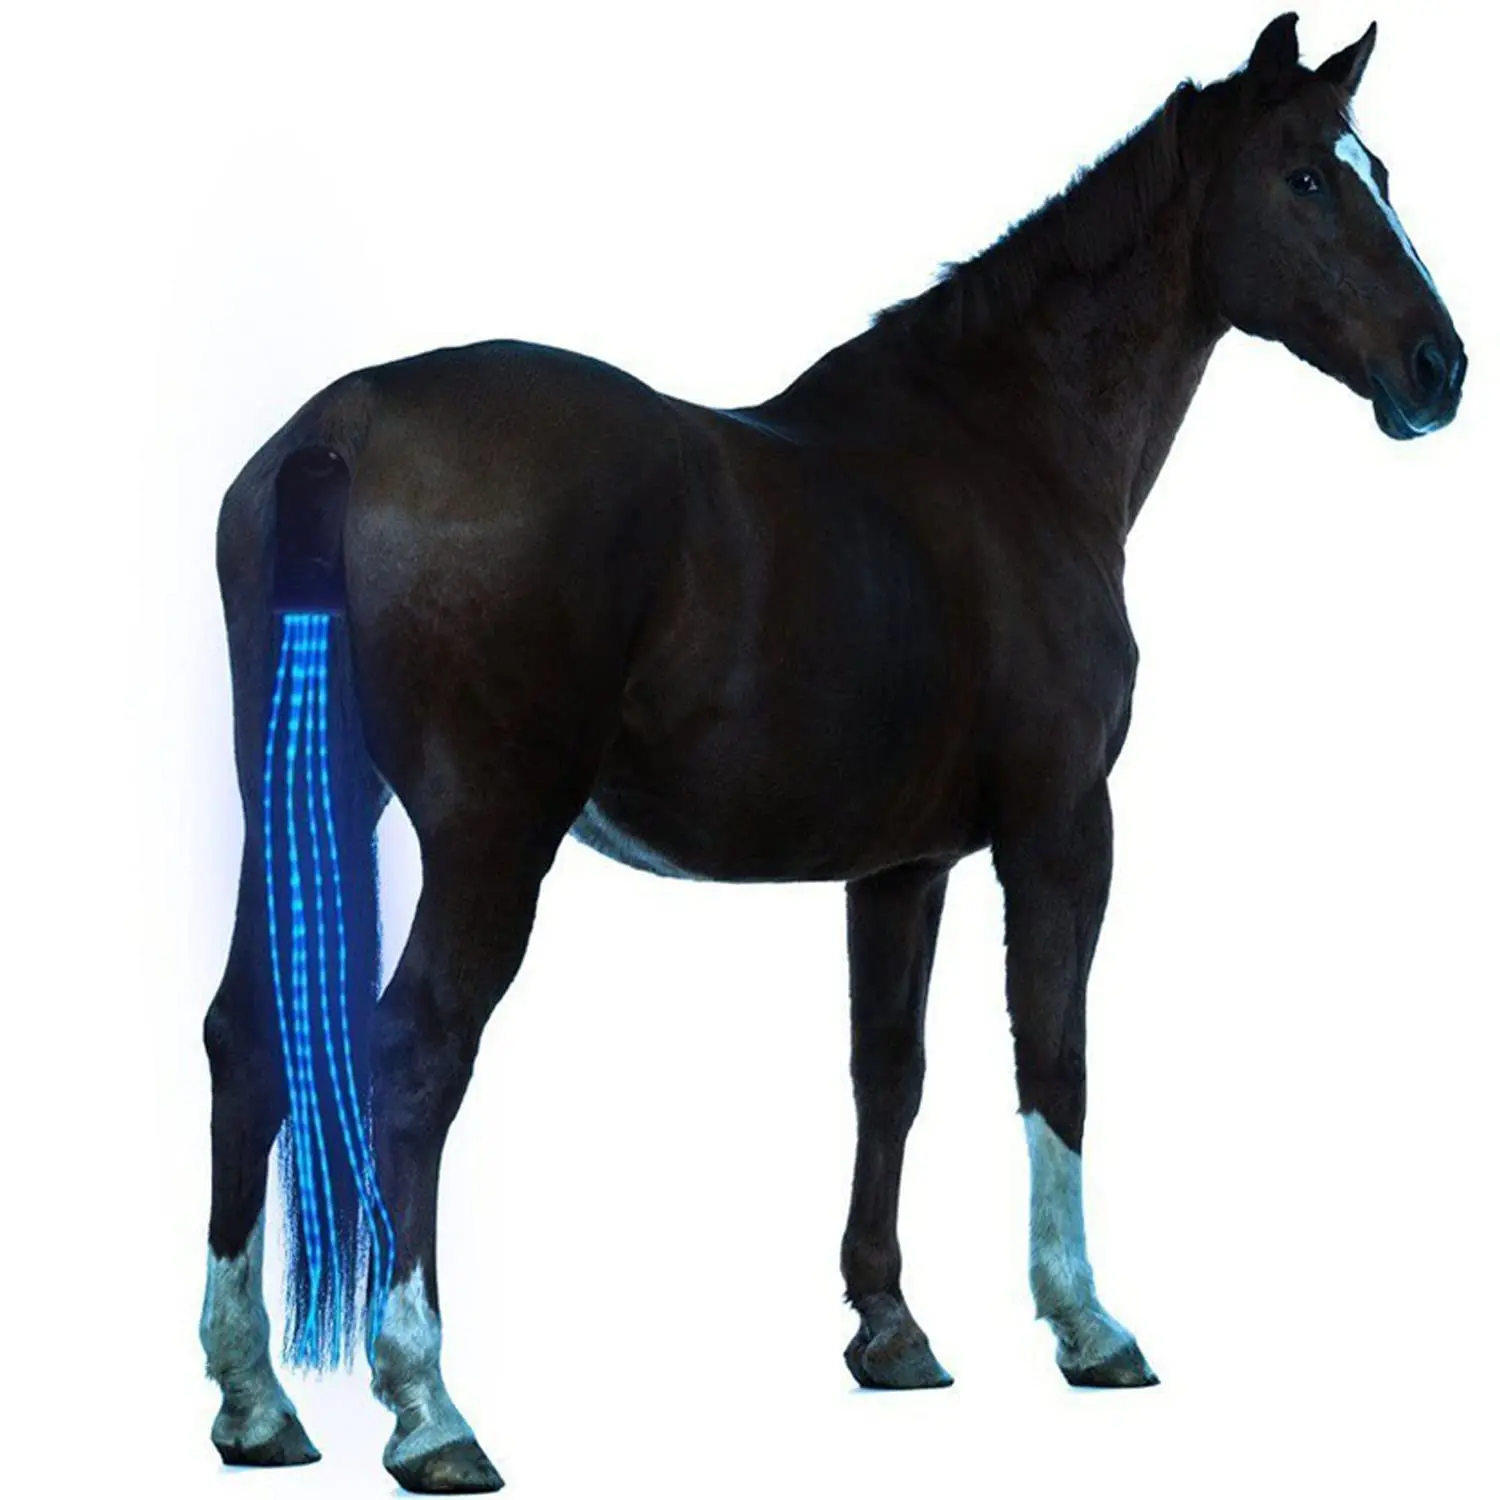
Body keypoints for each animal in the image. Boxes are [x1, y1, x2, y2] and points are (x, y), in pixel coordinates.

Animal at [199, 13, 1465, 1493]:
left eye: (1380, 169)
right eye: (1309, 178)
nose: (1440, 370)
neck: (1010, 446)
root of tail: (343, 423)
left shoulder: (901, 866)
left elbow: (888, 1073)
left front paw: (890, 1330)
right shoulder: (1062, 828)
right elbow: (1056, 1056)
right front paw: (1088, 1326)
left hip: (298, 802)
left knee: (243, 1040)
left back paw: (253, 1401)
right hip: (488, 834)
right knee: (414, 1054)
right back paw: (431, 1409)